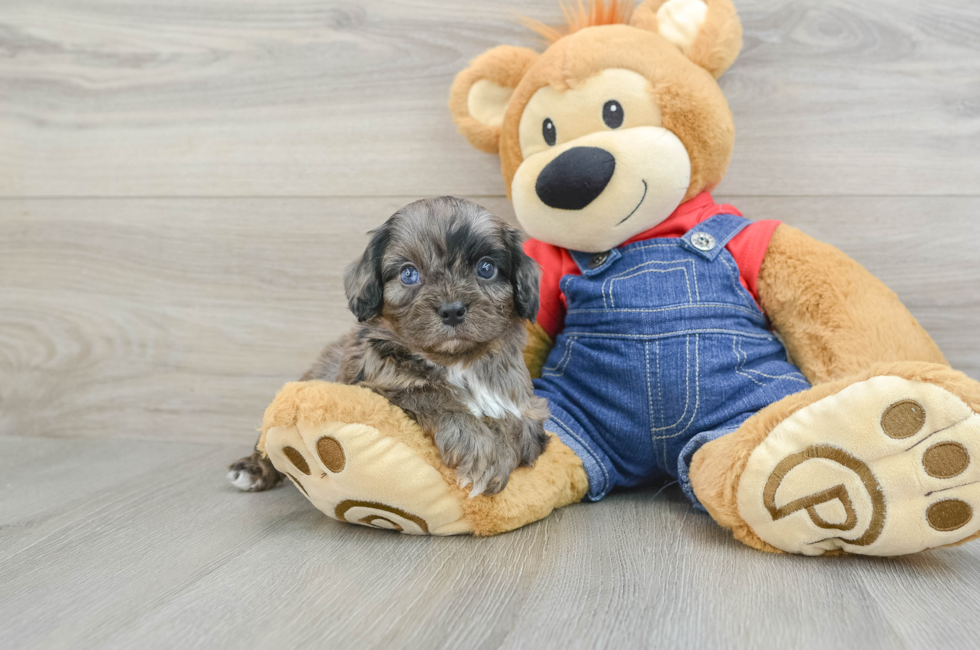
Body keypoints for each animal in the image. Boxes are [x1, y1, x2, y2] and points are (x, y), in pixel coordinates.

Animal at [231, 195, 552, 494]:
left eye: (486, 268)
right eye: (409, 274)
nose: (452, 310)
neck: (456, 363)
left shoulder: (530, 411)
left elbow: (512, 424)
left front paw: (495, 454)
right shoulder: (376, 386)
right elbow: (430, 395)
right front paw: (477, 448)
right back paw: (253, 469)